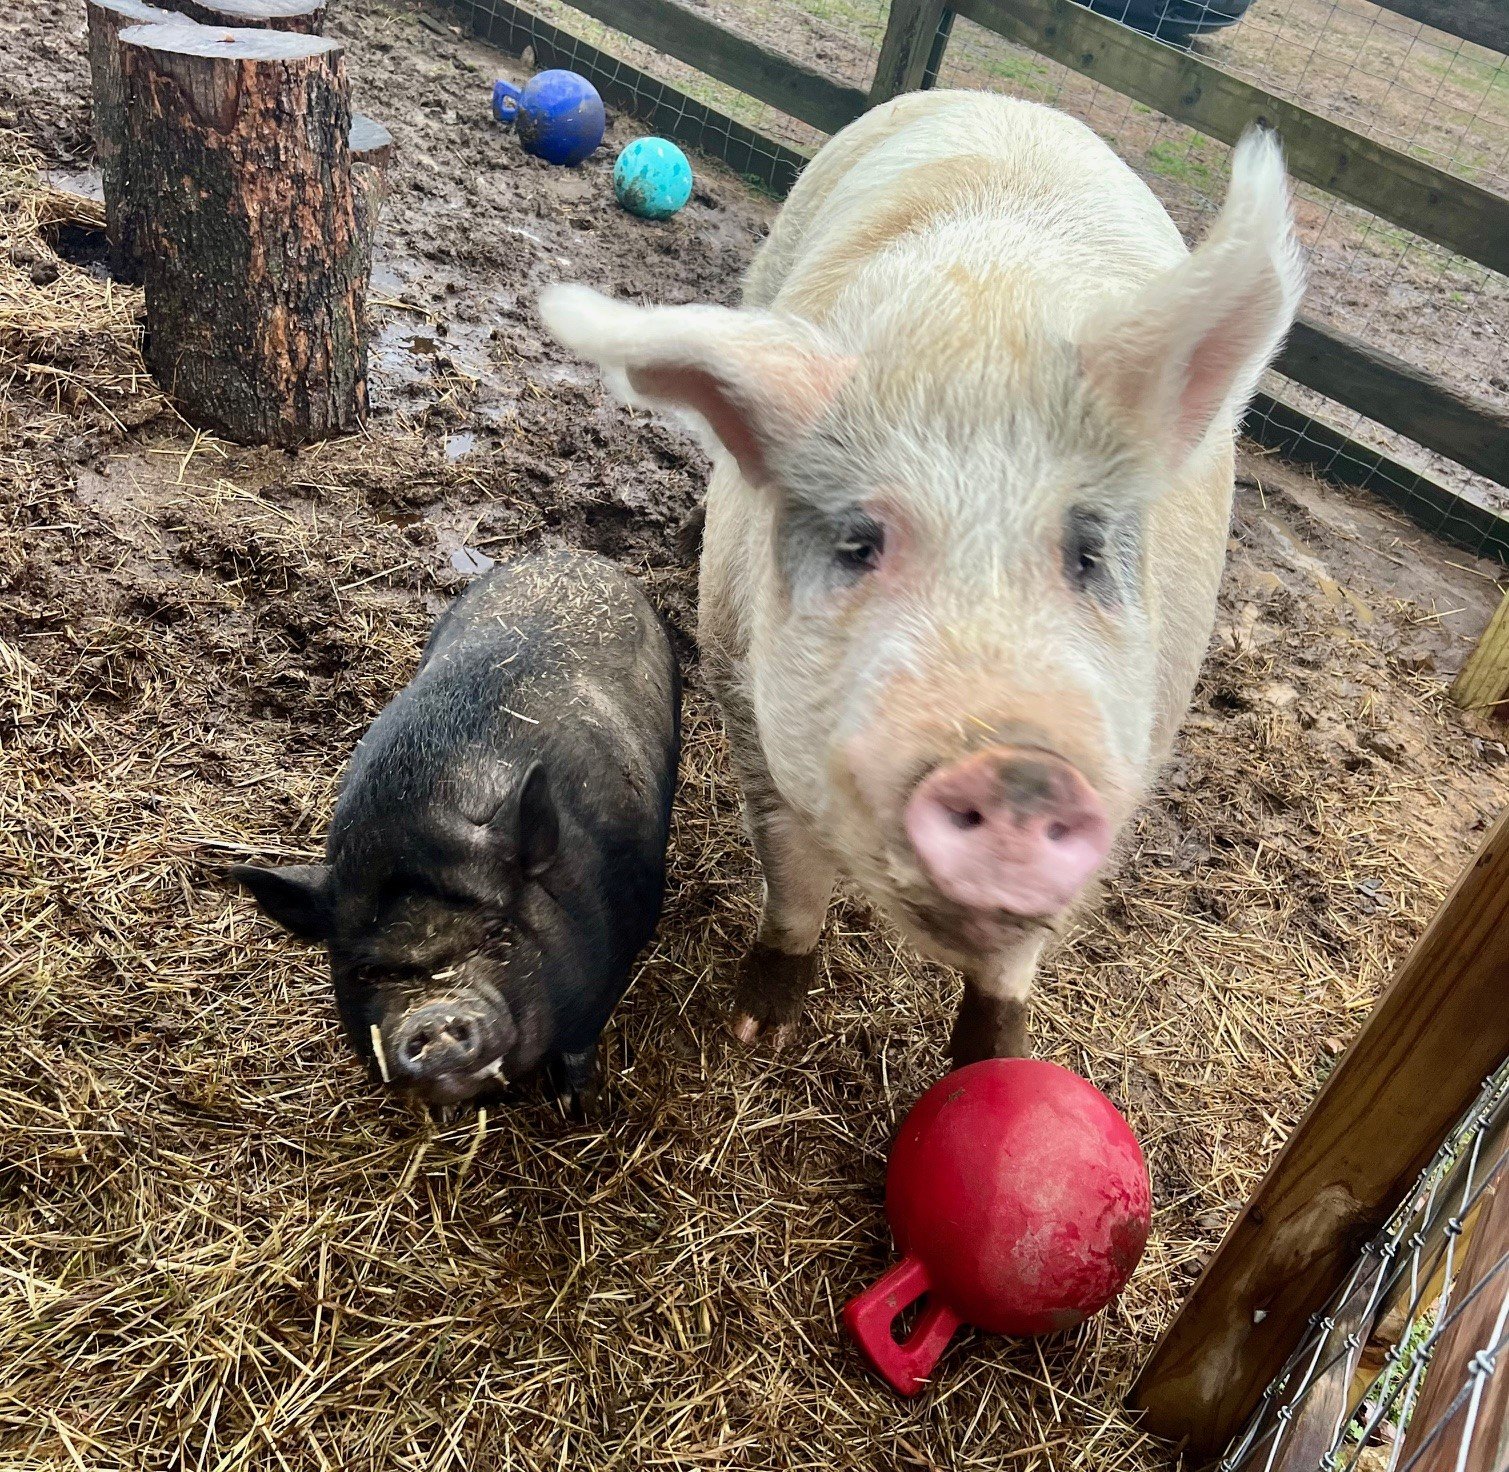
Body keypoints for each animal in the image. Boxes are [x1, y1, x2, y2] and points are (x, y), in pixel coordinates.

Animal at [231, 549, 680, 1106]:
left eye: (498, 934)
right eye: (367, 971)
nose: (433, 1016)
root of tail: (570, 552)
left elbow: (579, 1046)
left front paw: (575, 1103)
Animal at [540, 90, 1303, 1062]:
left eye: (1088, 554)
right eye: (858, 544)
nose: (1018, 770)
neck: (977, 327)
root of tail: (1014, 102)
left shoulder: (1140, 739)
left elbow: (1011, 965)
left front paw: (994, 1064)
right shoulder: (744, 702)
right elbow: (792, 880)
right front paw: (754, 1031)